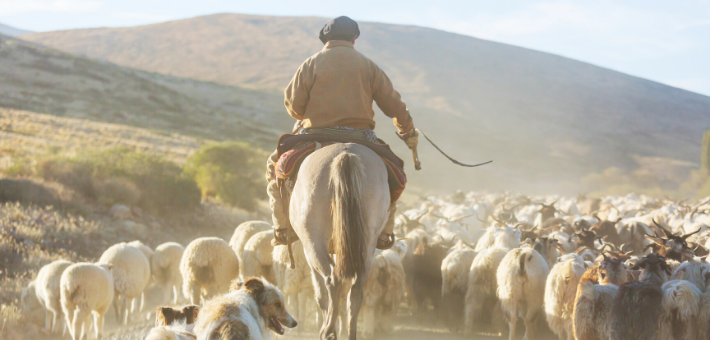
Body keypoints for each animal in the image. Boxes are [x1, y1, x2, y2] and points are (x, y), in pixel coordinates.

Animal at [290, 143, 390, 340]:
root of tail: (345, 154)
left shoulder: (308, 252)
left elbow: (321, 295)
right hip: (367, 244)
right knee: (356, 290)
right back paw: (349, 333)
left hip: (313, 243)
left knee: (332, 280)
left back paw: (328, 330)